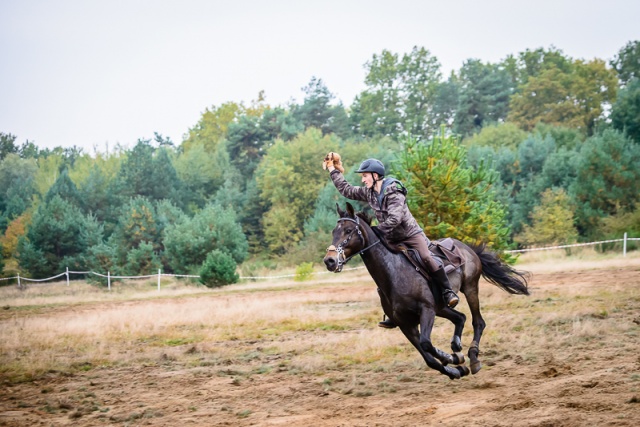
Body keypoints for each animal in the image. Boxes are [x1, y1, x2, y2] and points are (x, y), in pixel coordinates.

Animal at [320, 203, 528, 382]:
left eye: (348, 231)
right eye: (333, 232)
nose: (329, 261)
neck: (394, 272)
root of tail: (467, 248)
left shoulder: (426, 311)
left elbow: (427, 344)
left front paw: (452, 359)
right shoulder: (405, 324)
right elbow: (429, 358)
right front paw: (456, 369)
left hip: (469, 289)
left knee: (478, 322)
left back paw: (473, 357)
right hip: (441, 307)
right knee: (460, 318)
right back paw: (457, 348)